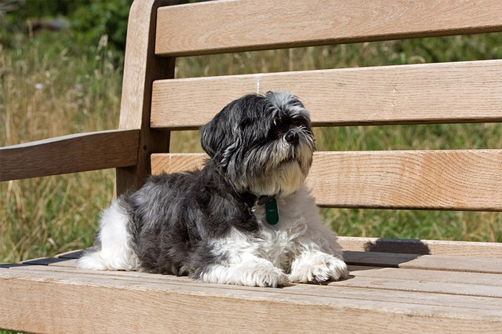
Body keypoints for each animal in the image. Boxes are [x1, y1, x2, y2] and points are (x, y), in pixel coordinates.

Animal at [76, 91, 348, 288]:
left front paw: (319, 264)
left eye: (298, 123)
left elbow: (311, 245)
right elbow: (239, 258)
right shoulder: (213, 252)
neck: (265, 198)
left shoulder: (314, 233)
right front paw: (262, 269)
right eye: (268, 132)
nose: (292, 135)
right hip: (120, 234)